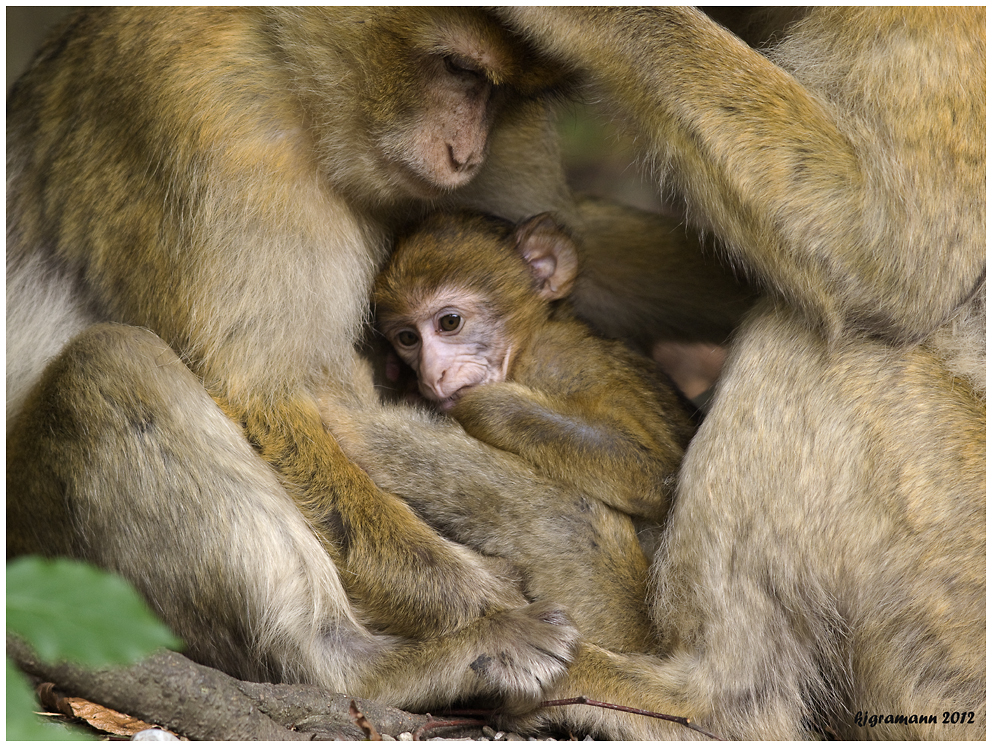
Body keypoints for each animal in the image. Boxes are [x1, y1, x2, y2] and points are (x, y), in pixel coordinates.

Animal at [374, 212, 696, 524]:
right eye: (408, 338)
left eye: (450, 322)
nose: (431, 375)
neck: (523, 348)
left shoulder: (563, 360)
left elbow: (658, 473)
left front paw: (479, 405)